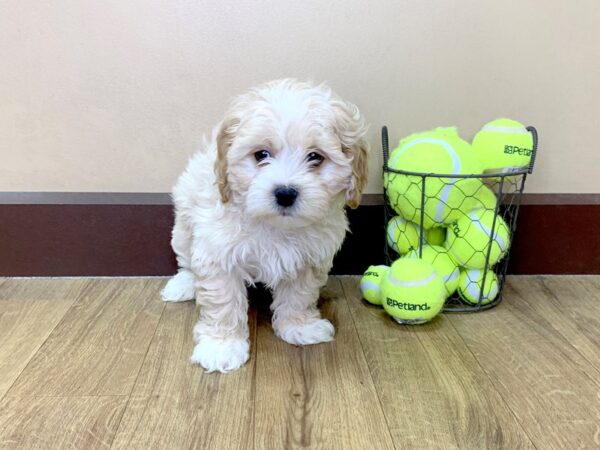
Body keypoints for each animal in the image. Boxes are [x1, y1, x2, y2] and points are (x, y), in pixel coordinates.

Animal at [162, 78, 368, 372]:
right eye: (261, 154)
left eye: (315, 157)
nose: (285, 193)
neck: (274, 225)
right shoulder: (218, 252)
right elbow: (223, 302)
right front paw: (221, 346)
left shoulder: (308, 257)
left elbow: (299, 294)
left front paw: (299, 326)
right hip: (183, 222)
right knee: (186, 258)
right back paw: (184, 284)